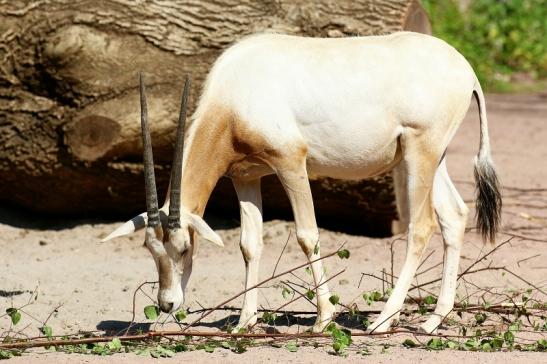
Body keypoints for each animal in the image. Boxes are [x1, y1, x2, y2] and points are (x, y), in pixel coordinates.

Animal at [103, 32, 500, 334]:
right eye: (150, 249)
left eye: (185, 248)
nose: (167, 303)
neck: (236, 90)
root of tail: (466, 70)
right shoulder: (246, 176)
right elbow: (249, 245)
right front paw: (244, 322)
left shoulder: (291, 162)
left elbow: (308, 236)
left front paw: (324, 319)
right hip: (433, 158)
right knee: (453, 215)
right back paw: (434, 319)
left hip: (420, 152)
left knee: (422, 226)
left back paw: (383, 320)